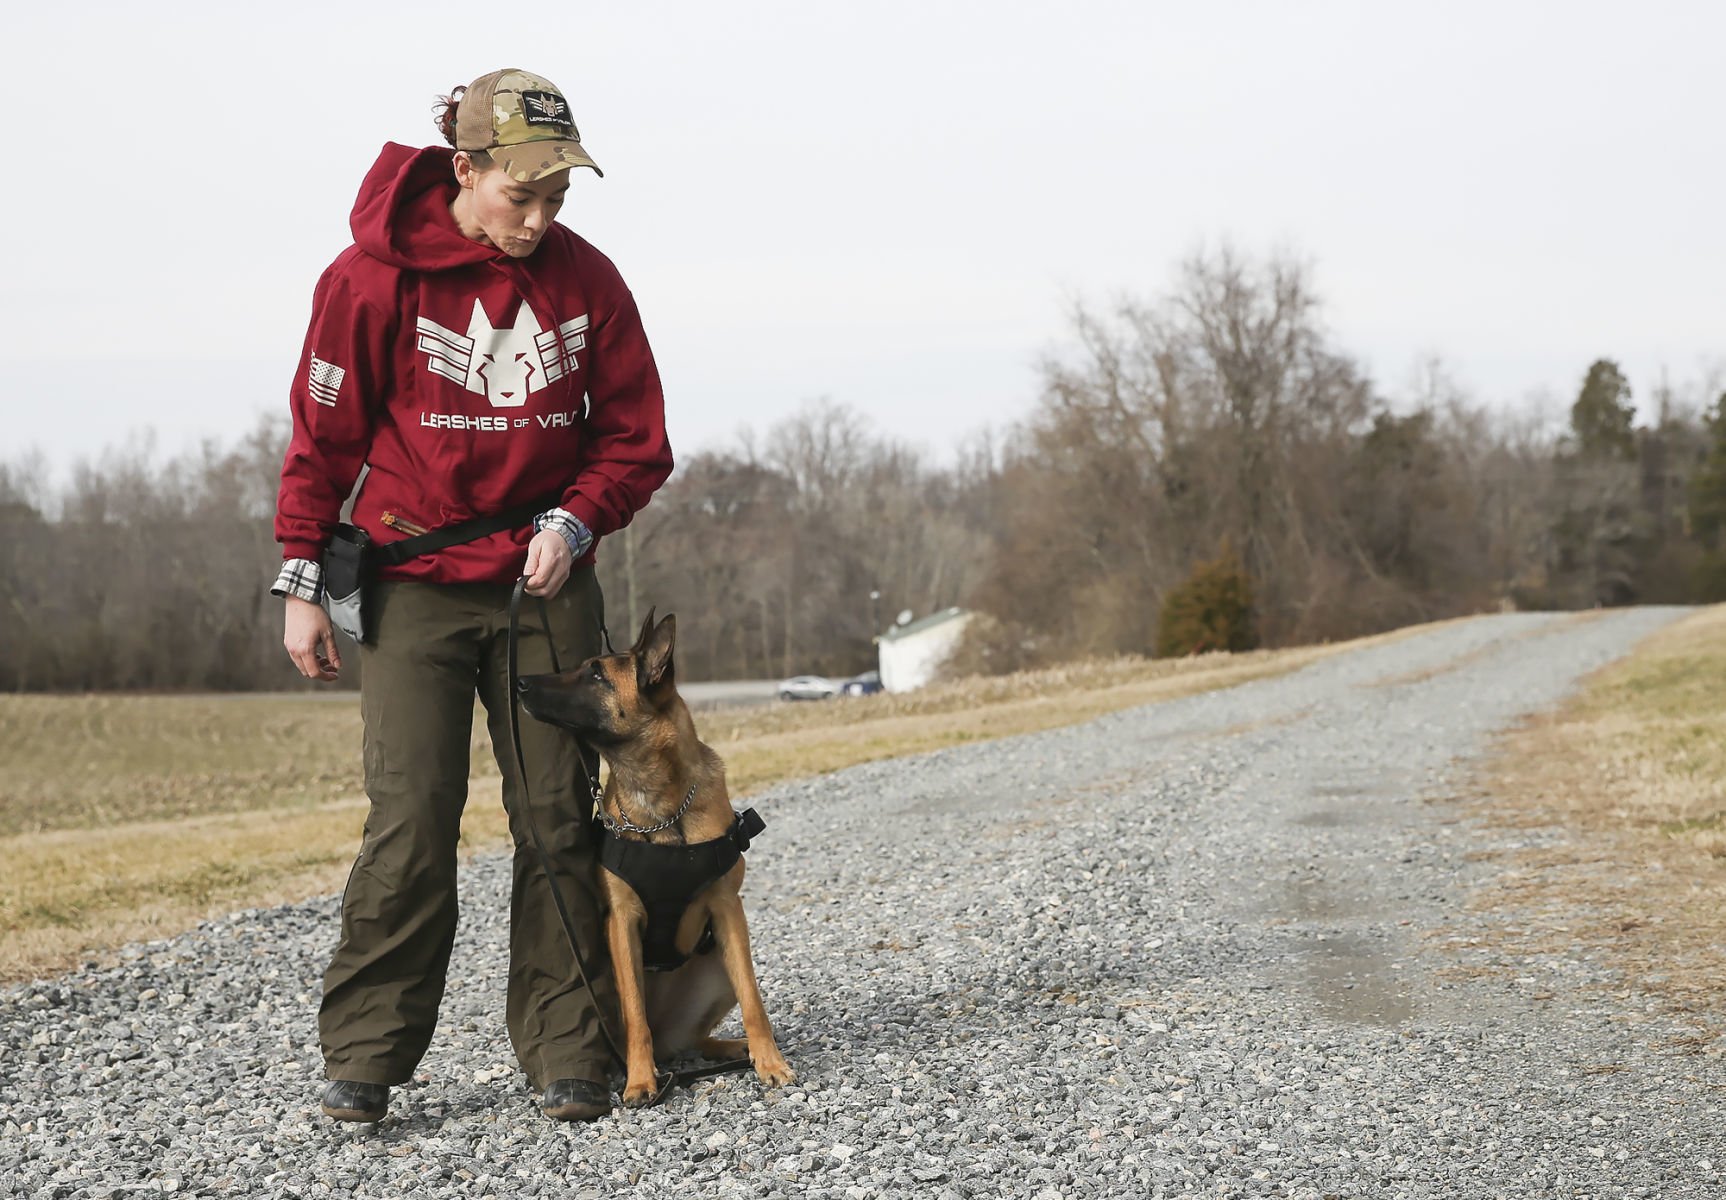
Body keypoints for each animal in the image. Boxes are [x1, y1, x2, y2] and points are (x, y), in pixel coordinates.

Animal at [517, 611, 793, 1105]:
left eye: (595, 674)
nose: (521, 682)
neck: (660, 807)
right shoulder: (622, 922)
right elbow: (635, 1017)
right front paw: (640, 1080)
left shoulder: (729, 911)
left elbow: (753, 999)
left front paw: (770, 1061)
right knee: (648, 1032)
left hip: (717, 968)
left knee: (697, 1037)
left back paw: (734, 1047)